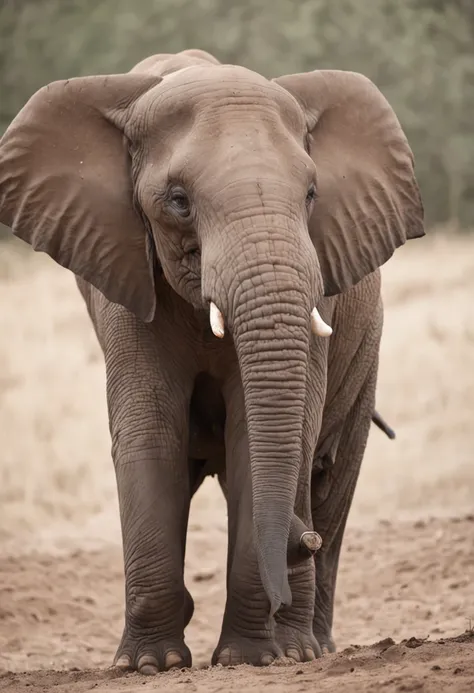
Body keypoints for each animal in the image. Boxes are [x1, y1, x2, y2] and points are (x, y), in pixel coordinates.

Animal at [0, 47, 422, 672]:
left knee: (333, 481)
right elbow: (150, 430)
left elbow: (261, 433)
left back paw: (305, 647)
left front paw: (251, 659)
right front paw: (149, 665)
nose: (301, 542)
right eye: (178, 201)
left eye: (312, 195)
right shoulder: (123, 272)